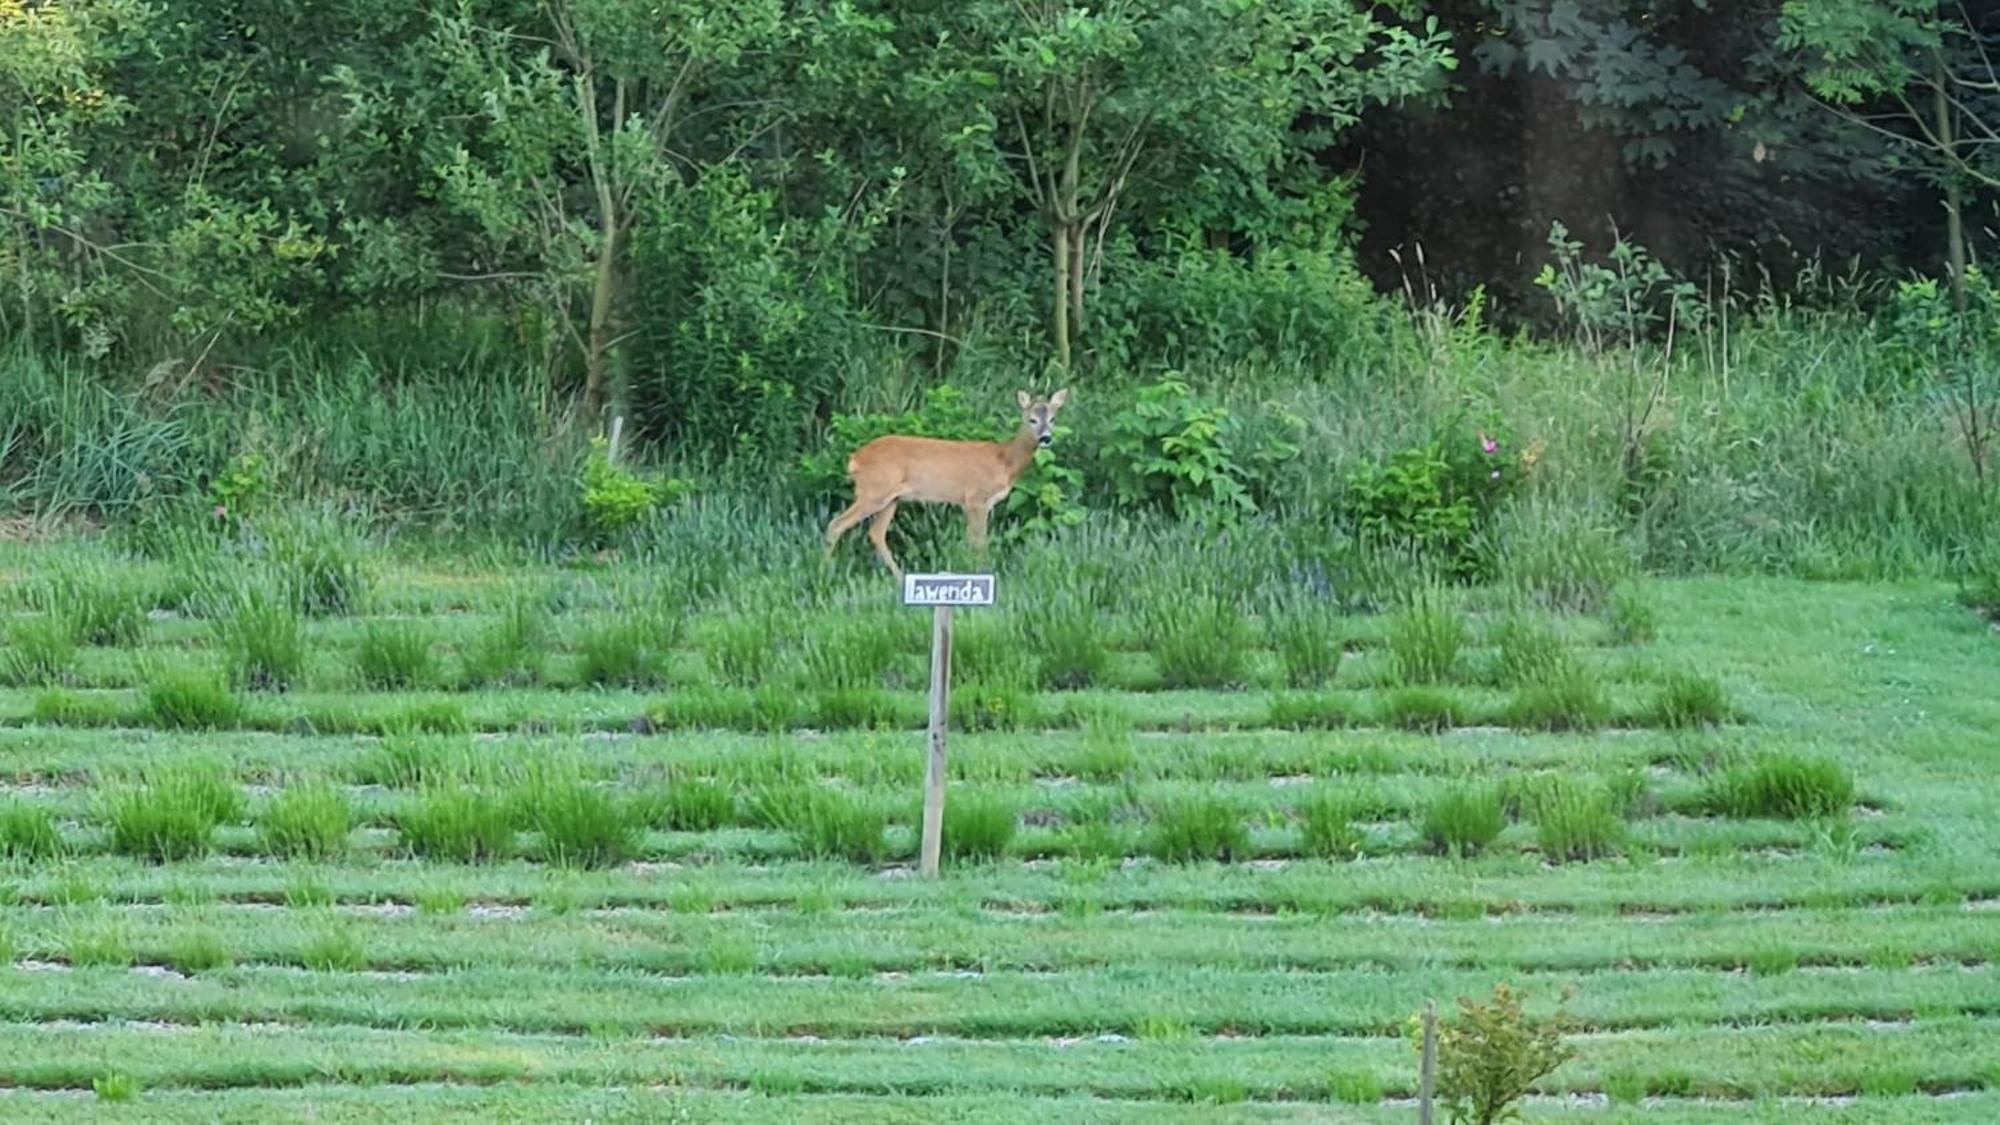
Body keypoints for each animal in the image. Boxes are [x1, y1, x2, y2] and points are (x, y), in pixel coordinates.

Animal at [824, 388, 1072, 576]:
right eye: (1032, 419)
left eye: (1053, 419)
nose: (1046, 438)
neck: (1004, 461)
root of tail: (855, 459)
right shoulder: (976, 498)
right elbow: (979, 542)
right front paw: (982, 573)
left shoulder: (974, 504)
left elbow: (973, 540)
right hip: (874, 491)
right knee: (836, 524)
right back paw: (825, 571)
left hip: (891, 498)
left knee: (876, 533)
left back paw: (900, 578)